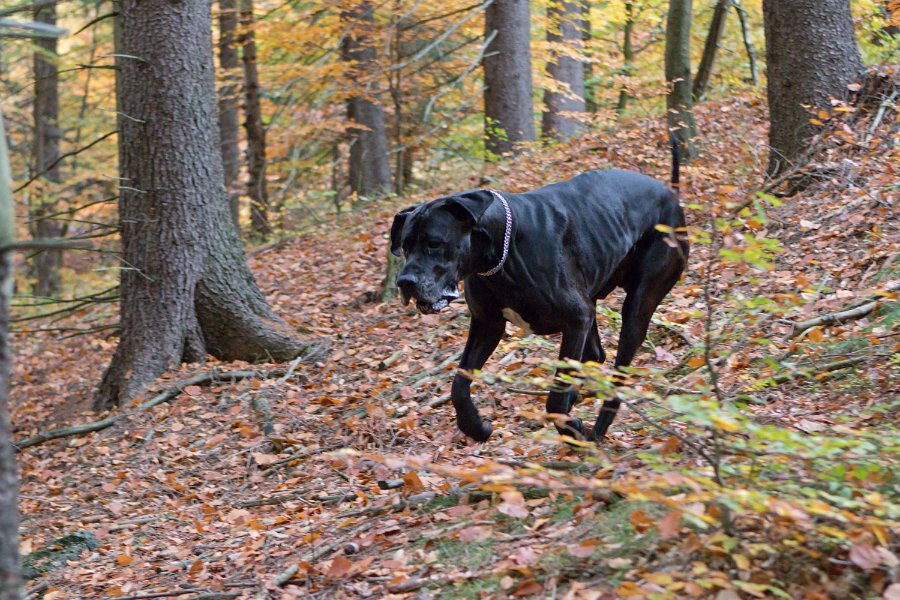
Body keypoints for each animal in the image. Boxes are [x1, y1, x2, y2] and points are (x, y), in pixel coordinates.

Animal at [388, 148, 688, 442]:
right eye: (405, 246)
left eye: (435, 243)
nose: (405, 282)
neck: (501, 251)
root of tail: (671, 195)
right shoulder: (488, 324)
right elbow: (459, 385)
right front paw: (475, 427)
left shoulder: (575, 319)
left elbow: (555, 398)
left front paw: (571, 428)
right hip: (590, 301)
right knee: (596, 354)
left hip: (637, 304)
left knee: (616, 374)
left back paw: (595, 433)